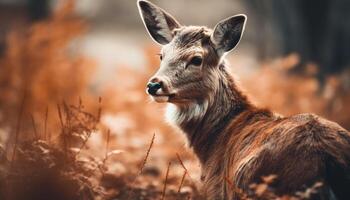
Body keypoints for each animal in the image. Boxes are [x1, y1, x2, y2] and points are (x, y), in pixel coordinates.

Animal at [138, 0, 350, 199]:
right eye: (161, 55)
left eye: (196, 59)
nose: (154, 85)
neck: (212, 144)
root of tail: (328, 160)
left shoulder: (216, 190)